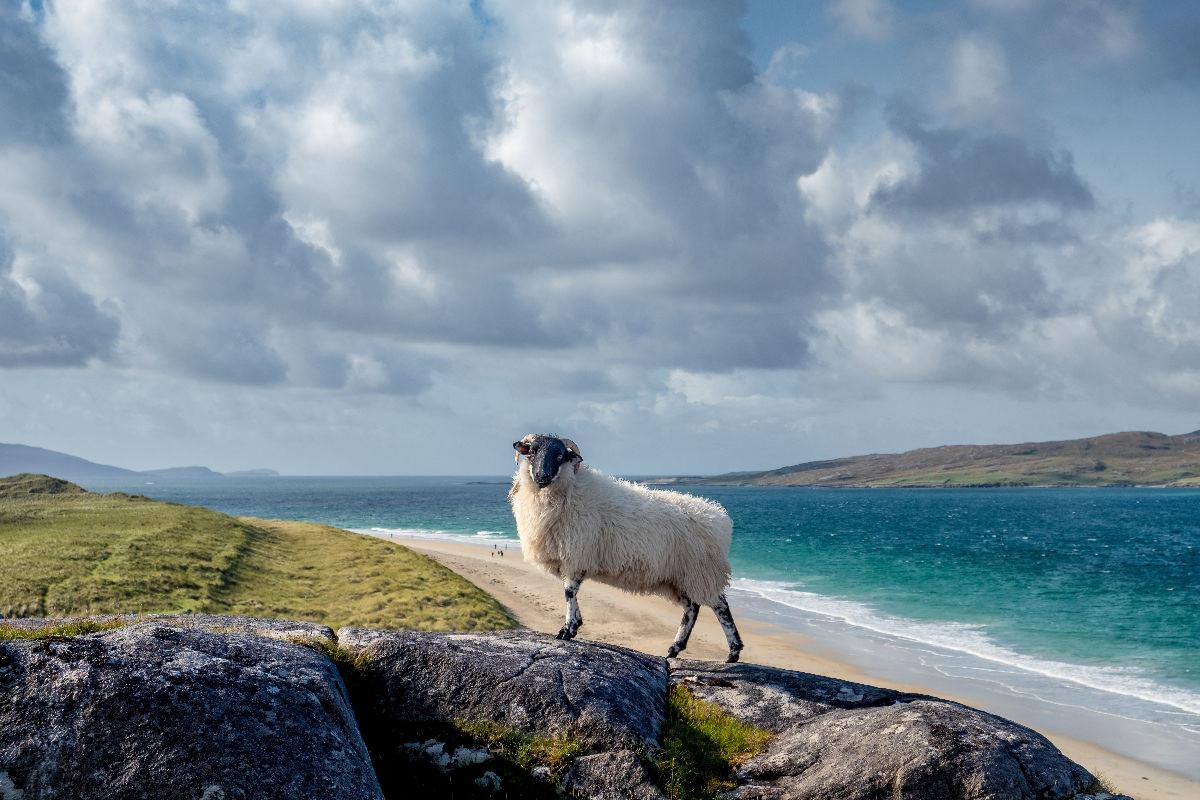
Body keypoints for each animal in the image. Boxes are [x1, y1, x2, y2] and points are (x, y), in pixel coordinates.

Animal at [506, 434, 739, 662]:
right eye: (532, 450)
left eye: (560, 454)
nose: (541, 476)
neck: (571, 488)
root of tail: (718, 518)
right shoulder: (569, 559)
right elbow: (570, 593)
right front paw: (576, 624)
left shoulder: (576, 554)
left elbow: (569, 592)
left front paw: (567, 629)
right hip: (678, 578)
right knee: (692, 608)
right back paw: (675, 648)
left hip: (702, 572)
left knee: (720, 606)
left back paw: (733, 652)